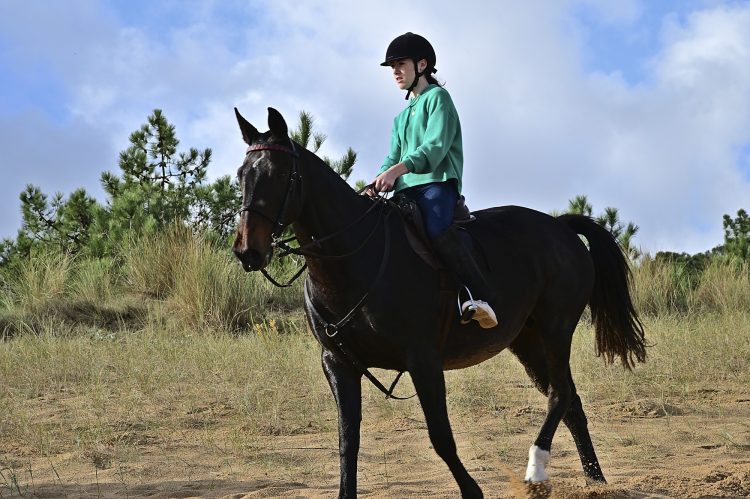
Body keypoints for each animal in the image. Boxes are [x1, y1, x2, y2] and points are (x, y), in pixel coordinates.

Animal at [231, 107, 646, 498]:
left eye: (280, 174)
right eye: (241, 175)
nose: (247, 251)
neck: (357, 255)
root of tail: (562, 228)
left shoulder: (423, 360)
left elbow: (440, 437)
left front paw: (472, 491)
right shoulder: (337, 363)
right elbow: (348, 441)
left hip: (555, 330)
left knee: (560, 396)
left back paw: (536, 470)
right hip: (527, 342)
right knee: (572, 403)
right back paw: (595, 481)